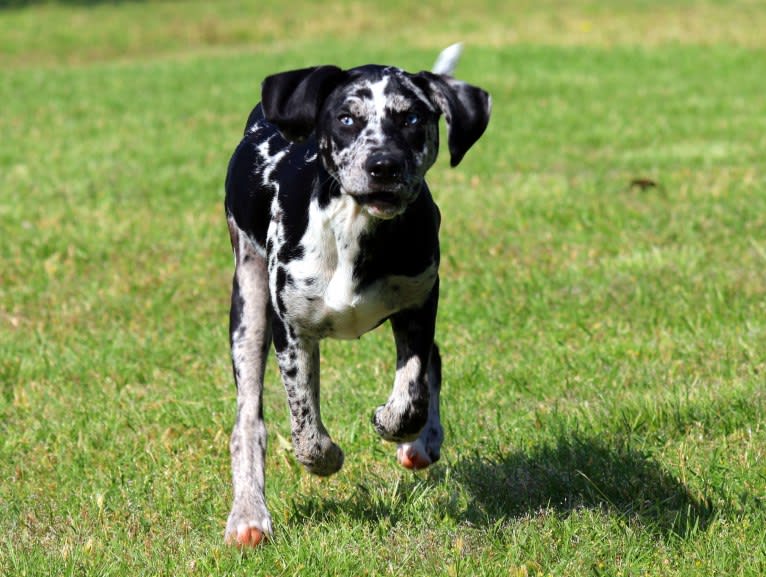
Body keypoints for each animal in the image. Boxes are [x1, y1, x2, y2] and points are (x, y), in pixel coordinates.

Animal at [225, 45, 496, 544]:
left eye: (411, 118)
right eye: (347, 118)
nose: (383, 165)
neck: (354, 232)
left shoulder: (419, 304)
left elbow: (412, 393)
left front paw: (395, 423)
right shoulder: (291, 331)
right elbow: (305, 429)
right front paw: (325, 457)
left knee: (433, 364)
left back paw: (422, 443)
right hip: (248, 308)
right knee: (248, 420)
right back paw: (249, 514)